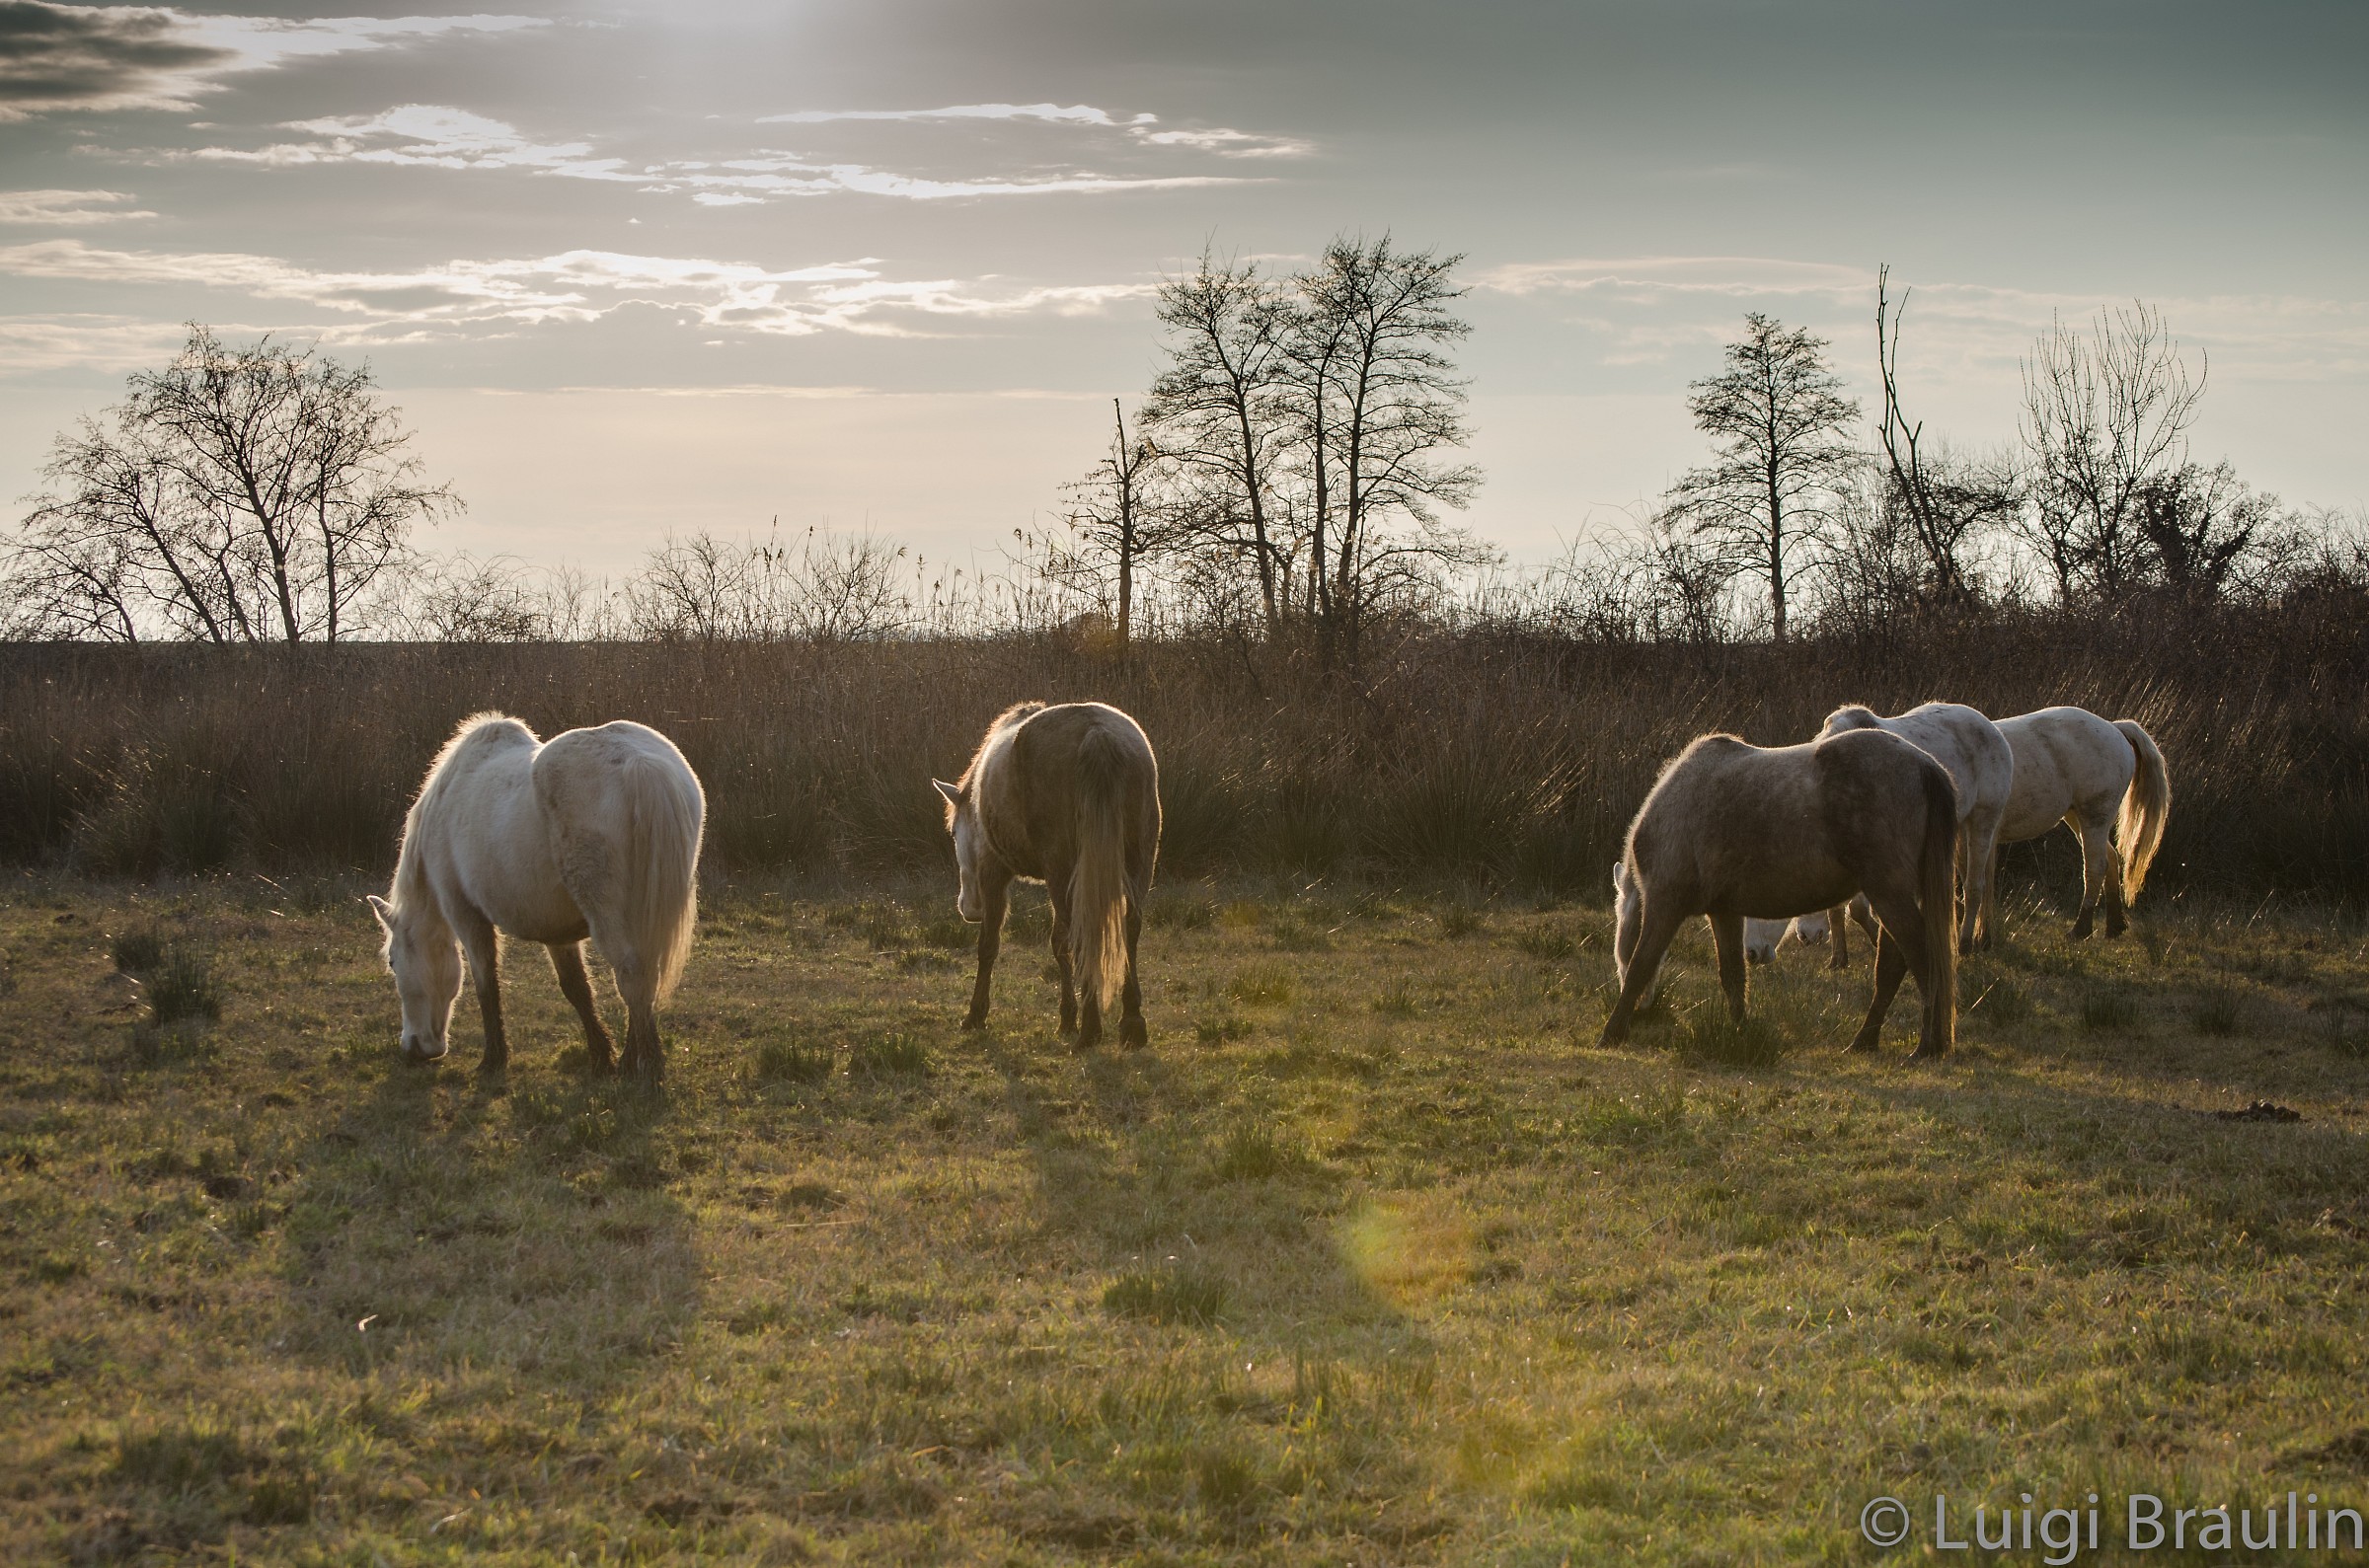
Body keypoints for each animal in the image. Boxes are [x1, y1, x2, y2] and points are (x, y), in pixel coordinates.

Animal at [369, 714, 704, 1084]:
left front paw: (493, 1060)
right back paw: (633, 1061)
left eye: (392, 962)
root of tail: (638, 762)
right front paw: (601, 1058)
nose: (414, 1048)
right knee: (643, 977)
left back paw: (645, 1067)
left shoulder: (466, 914)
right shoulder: (557, 932)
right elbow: (577, 989)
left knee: (633, 975)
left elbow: (486, 982)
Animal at [934, 701, 1161, 1048]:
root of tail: (1098, 734)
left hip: (1064, 870)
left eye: (953, 833)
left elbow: (989, 945)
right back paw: (1131, 1024)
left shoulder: (994, 871)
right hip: (1138, 861)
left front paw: (975, 1015)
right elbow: (1058, 944)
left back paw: (1091, 1030)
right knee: (1129, 928)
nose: (968, 908)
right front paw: (1067, 1018)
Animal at [1605, 727, 1959, 1058]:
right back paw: (1866, 1041)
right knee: (1892, 966)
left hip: (1888, 892)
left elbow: (1641, 964)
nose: (1645, 1010)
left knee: (1922, 959)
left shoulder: (1664, 903)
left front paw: (1611, 1033)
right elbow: (1733, 976)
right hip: (1894, 895)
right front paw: (1741, 1033)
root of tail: (1925, 765)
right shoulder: (1724, 912)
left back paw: (1927, 1046)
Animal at [1985, 706, 2170, 939]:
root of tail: (2113, 727)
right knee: (2110, 859)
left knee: (2096, 866)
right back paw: (2115, 926)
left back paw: (2081, 930)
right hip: (2077, 817)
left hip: (2094, 817)